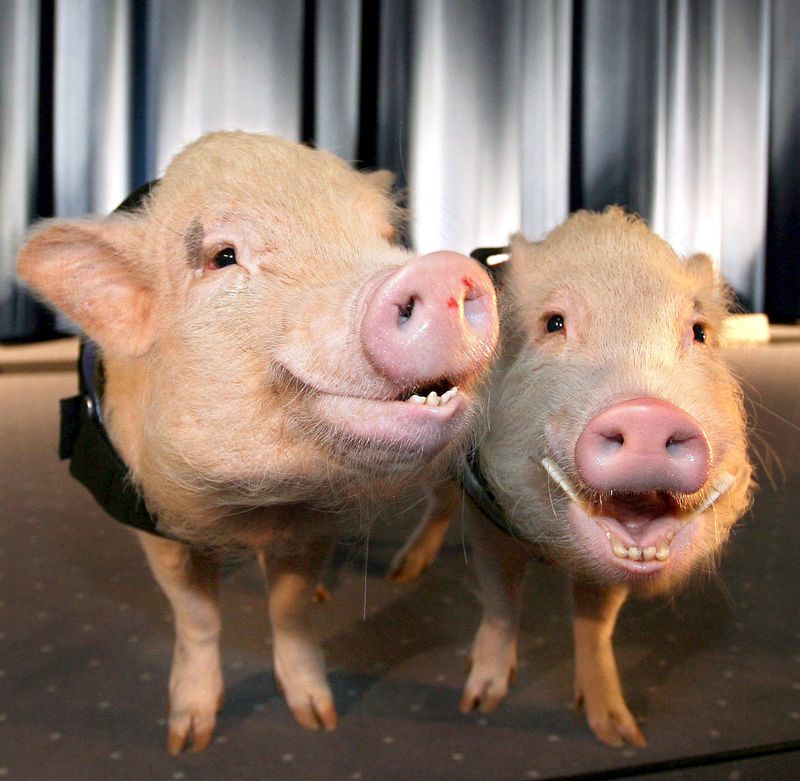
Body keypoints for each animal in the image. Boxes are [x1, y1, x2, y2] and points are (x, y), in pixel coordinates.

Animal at [16, 131, 499, 753]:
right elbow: (196, 617)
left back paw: (402, 573)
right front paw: (188, 738)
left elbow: (287, 610)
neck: (249, 510)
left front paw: (319, 719)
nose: (441, 271)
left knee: (442, 499)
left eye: (388, 239)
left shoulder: (313, 522)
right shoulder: (147, 514)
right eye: (223, 257)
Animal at [390, 207, 753, 747]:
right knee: (439, 502)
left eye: (699, 331)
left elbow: (595, 621)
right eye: (554, 323)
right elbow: (500, 599)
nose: (647, 414)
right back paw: (402, 573)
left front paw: (619, 734)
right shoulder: (489, 516)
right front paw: (479, 702)